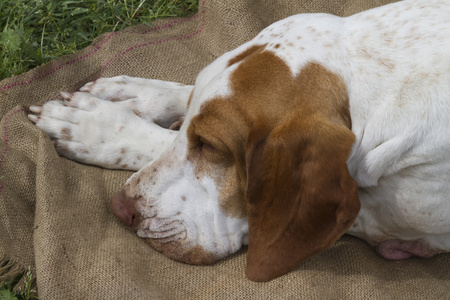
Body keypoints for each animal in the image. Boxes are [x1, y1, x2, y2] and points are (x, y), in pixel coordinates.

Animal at [28, 0, 450, 282]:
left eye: (211, 147)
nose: (120, 208)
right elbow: (186, 100)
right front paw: (134, 97)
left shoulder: (392, 220)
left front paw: (96, 126)